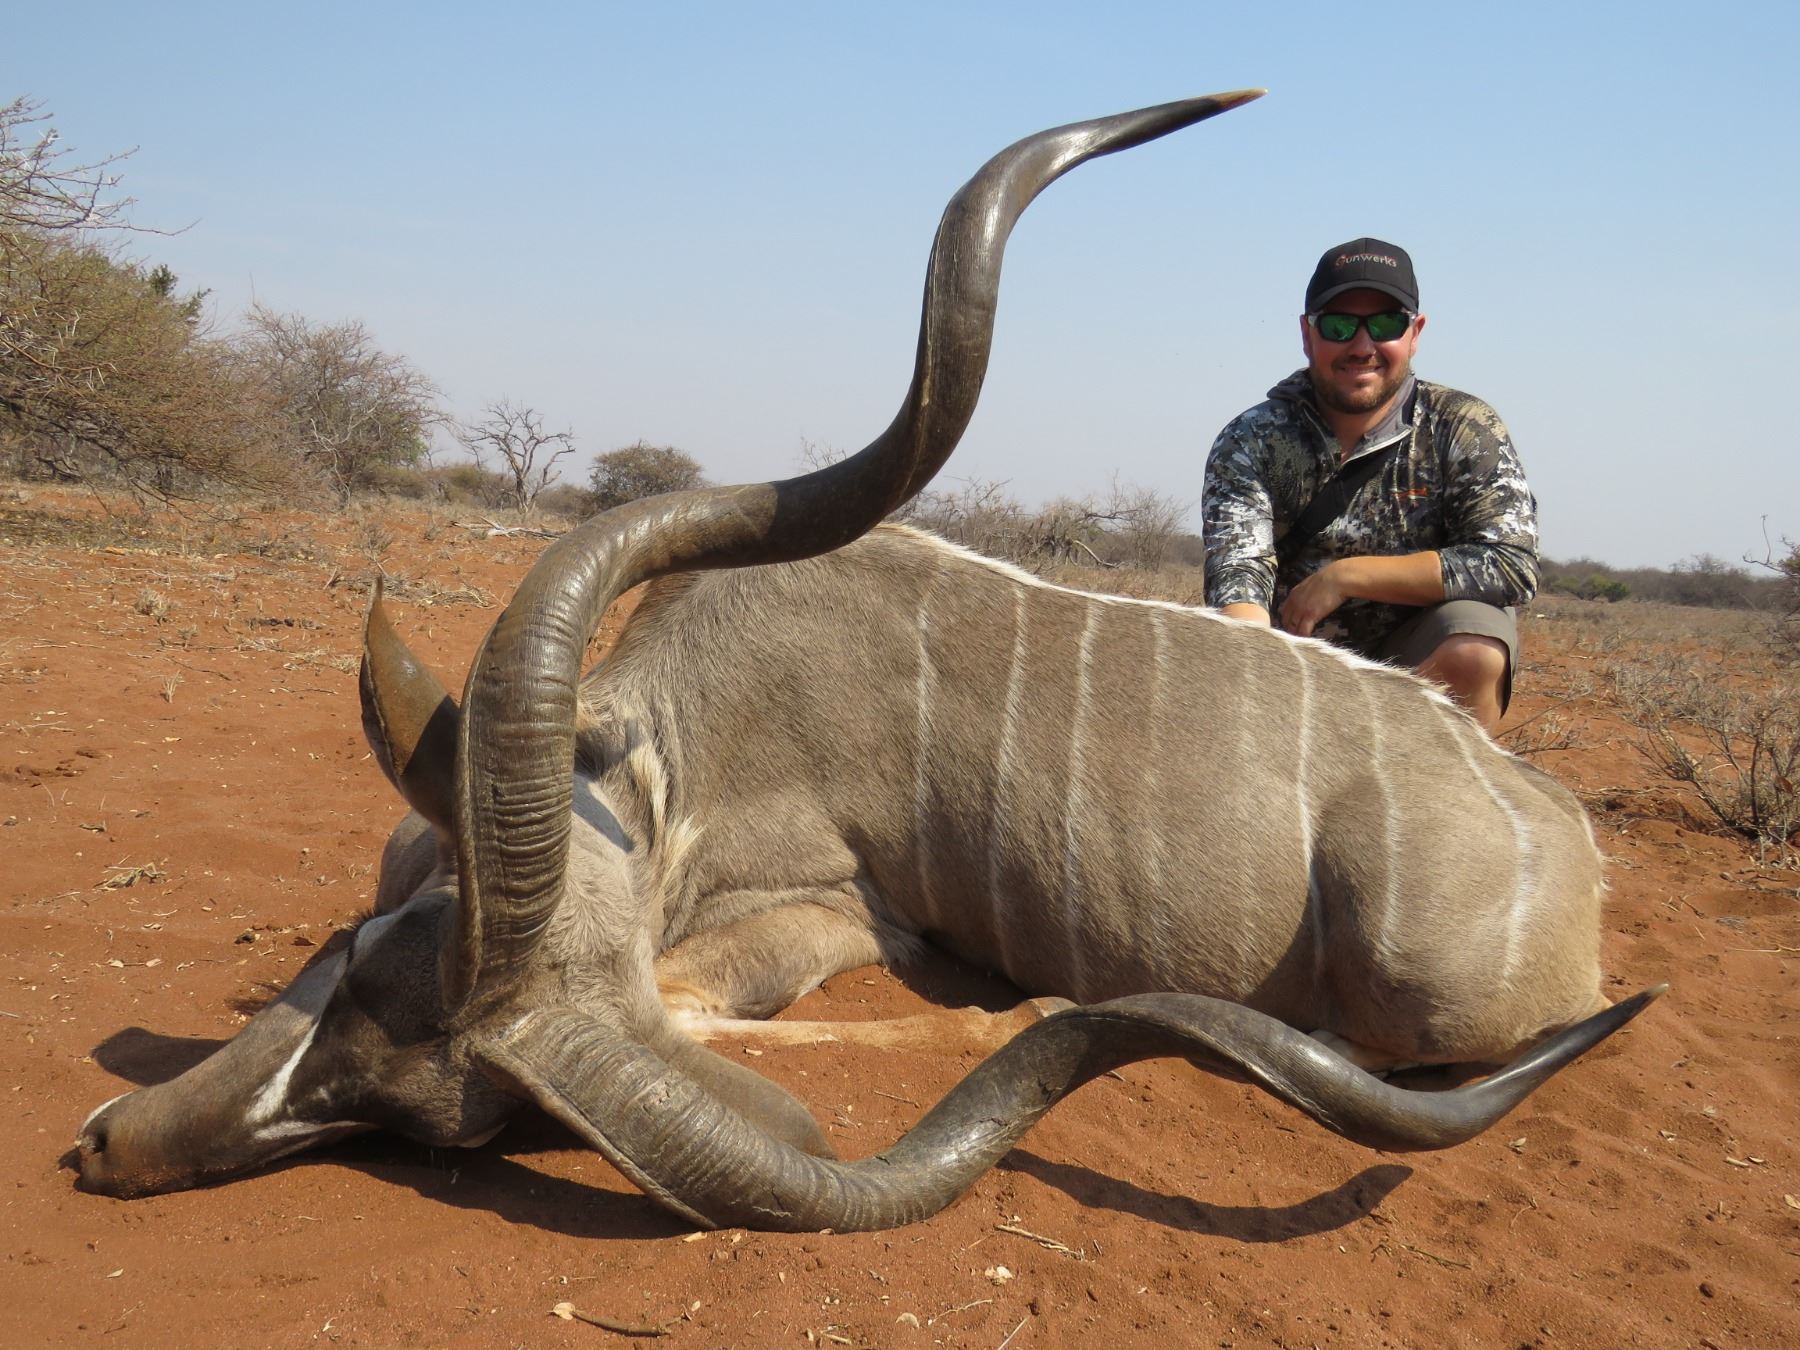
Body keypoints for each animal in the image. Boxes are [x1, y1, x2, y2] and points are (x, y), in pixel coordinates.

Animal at [72, 93, 1661, 1232]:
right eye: (349, 961)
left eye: (399, 1088)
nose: (102, 1149)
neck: (665, 754)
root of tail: (1561, 830)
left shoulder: (832, 910)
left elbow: (721, 1000)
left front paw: (999, 1001)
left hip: (1418, 980)